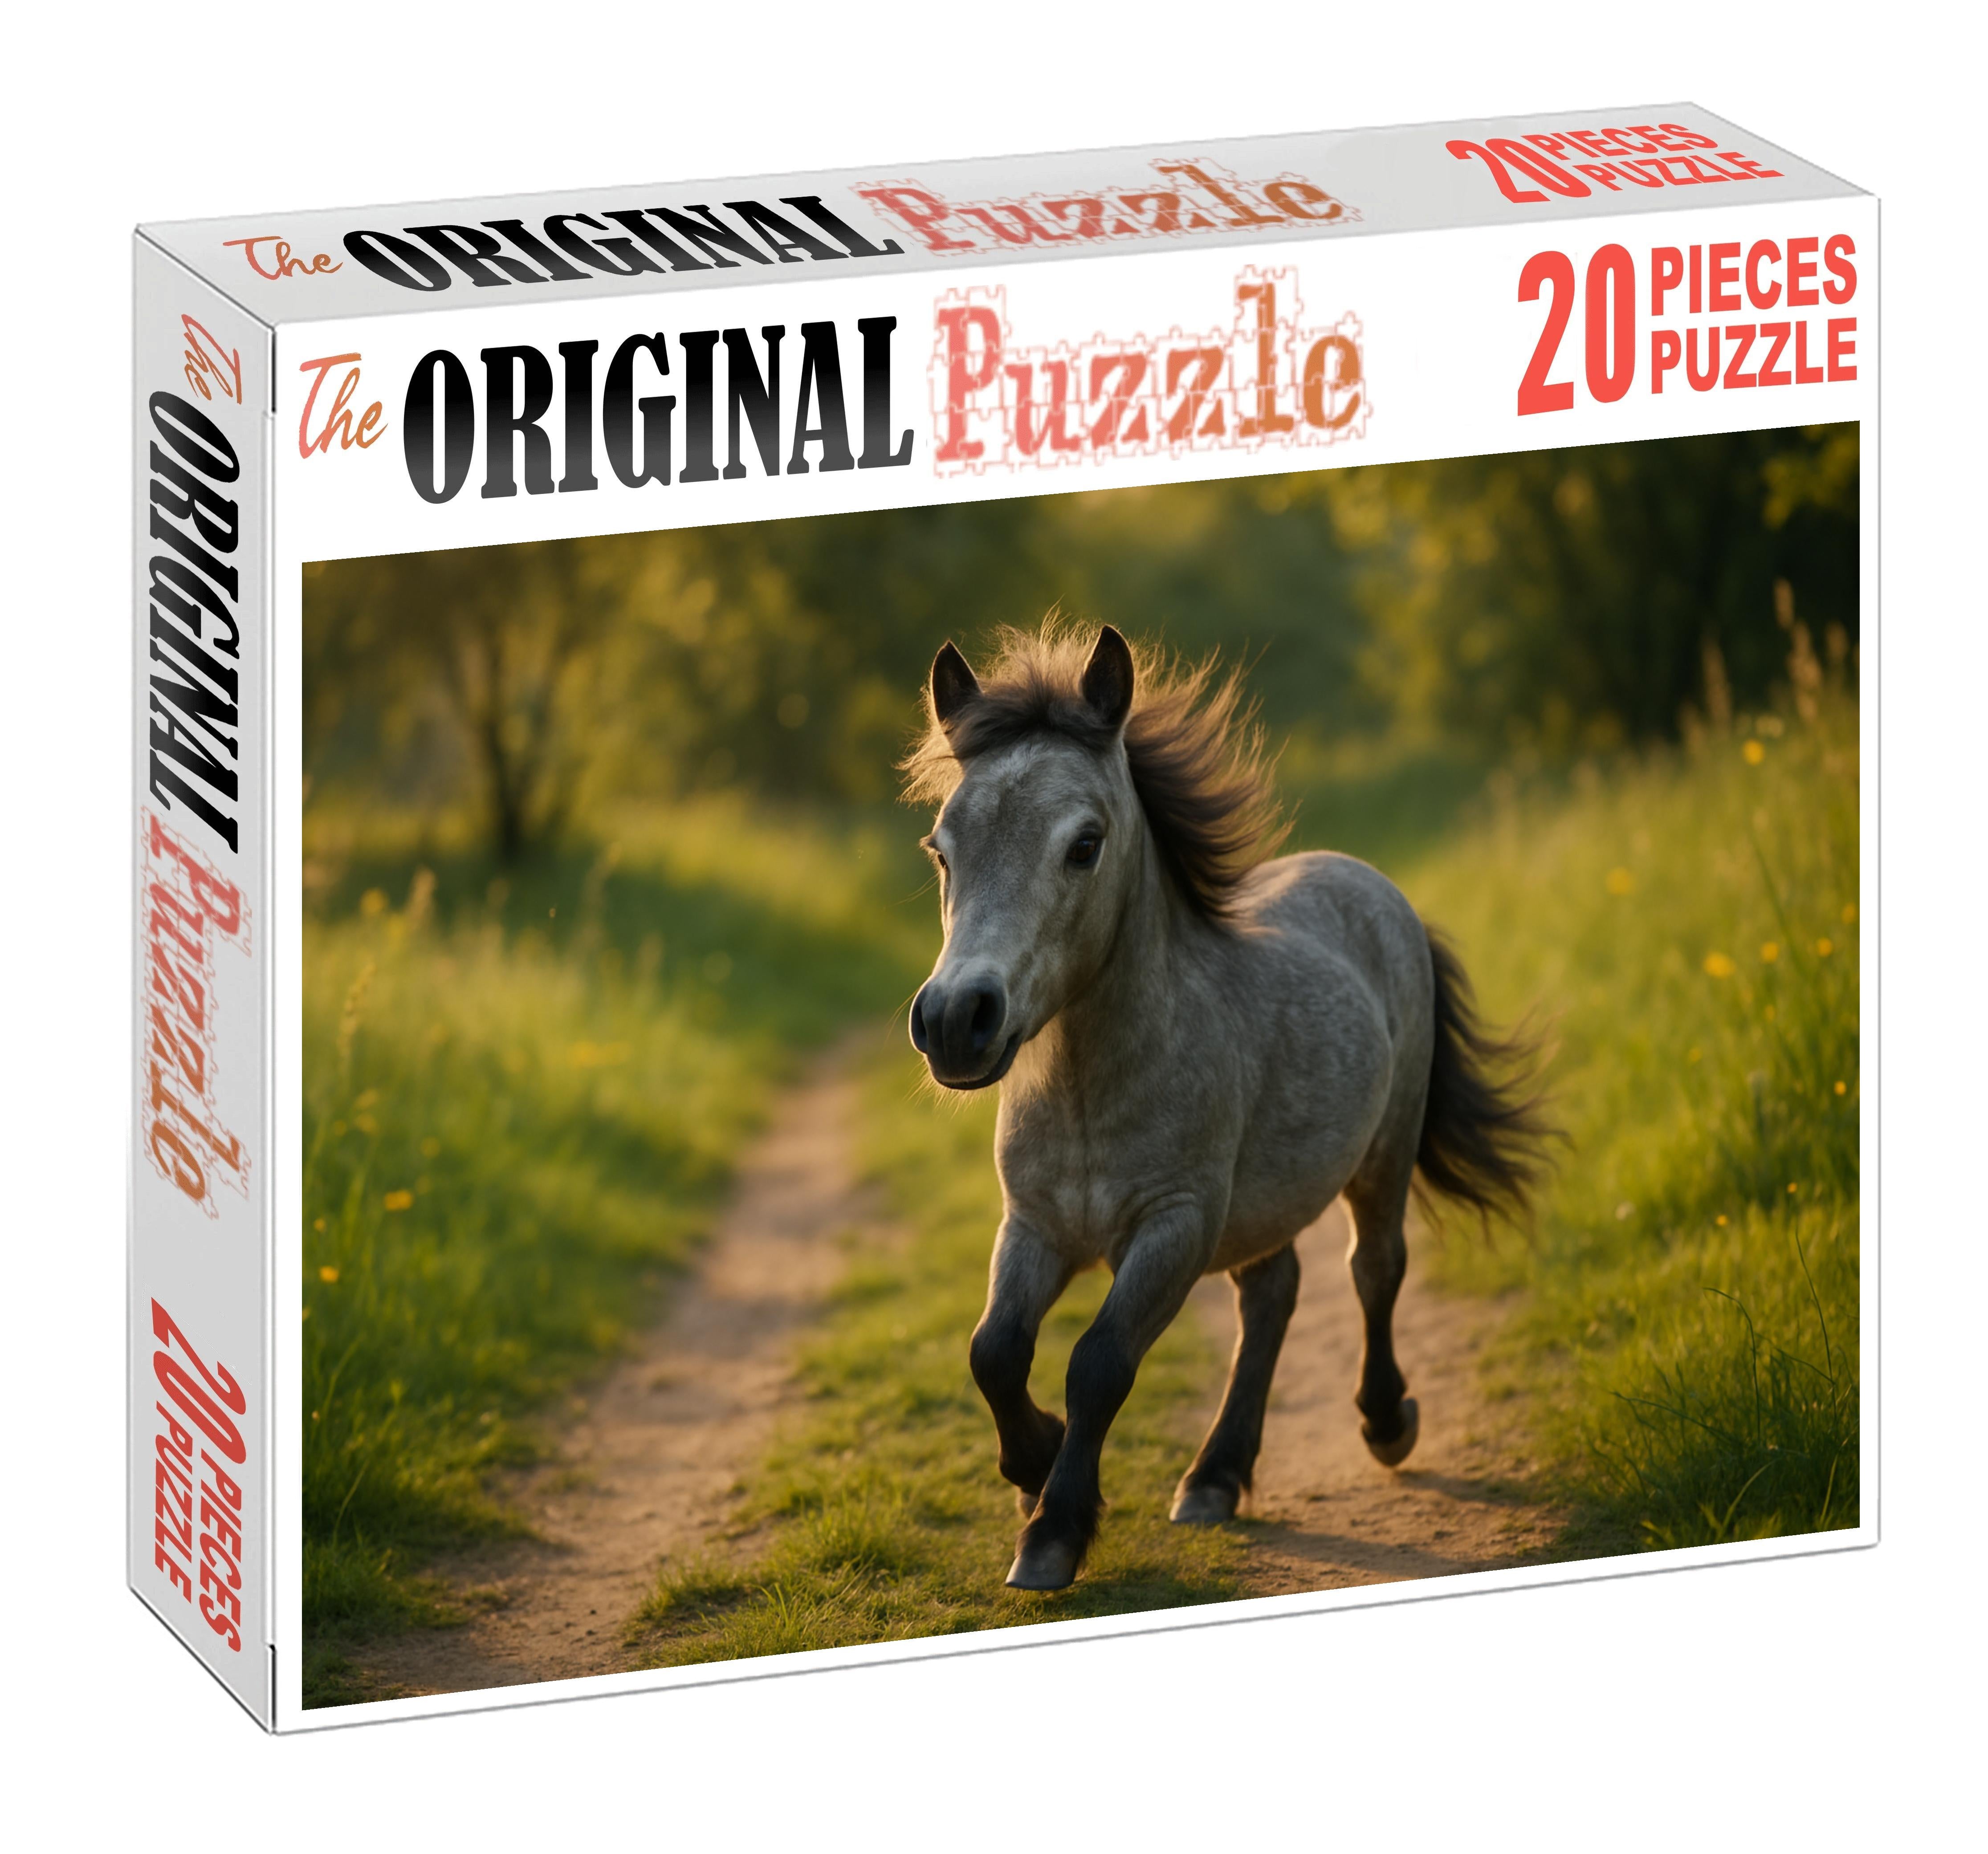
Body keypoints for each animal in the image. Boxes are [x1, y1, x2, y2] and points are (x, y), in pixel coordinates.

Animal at [903, 621, 1552, 1592]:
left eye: (1084, 845)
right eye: (942, 848)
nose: (954, 1020)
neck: (1093, 1094)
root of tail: (1369, 884)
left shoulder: (1175, 1227)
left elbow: (1099, 1362)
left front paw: (1055, 1527)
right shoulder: (1035, 1226)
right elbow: (995, 1351)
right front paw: (1035, 1466)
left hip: (1382, 1158)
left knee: (1373, 1270)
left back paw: (1384, 1422)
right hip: (1267, 1207)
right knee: (1272, 1297)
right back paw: (1216, 1474)